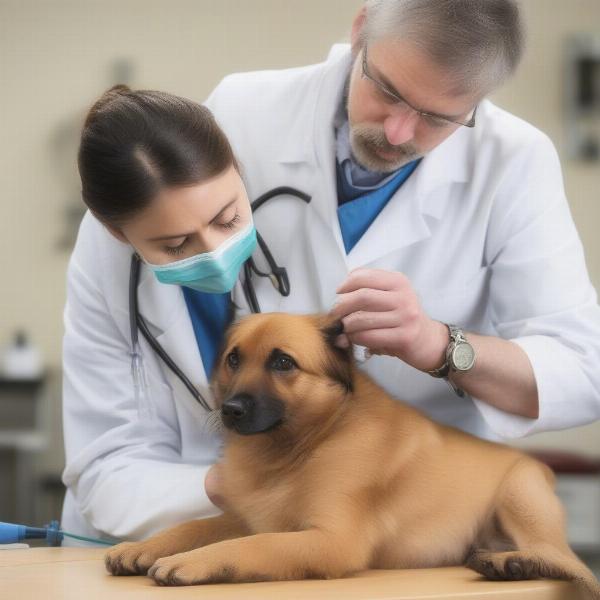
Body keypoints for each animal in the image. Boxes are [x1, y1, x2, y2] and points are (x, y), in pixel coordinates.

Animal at [105, 312, 600, 596]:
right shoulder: (252, 515)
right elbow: (195, 526)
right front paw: (145, 547)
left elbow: (248, 546)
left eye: (282, 362)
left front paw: (192, 562)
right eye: (233, 359)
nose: (229, 411)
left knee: (567, 562)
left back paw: (512, 562)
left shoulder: (330, 539)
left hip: (519, 494)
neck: (309, 442)